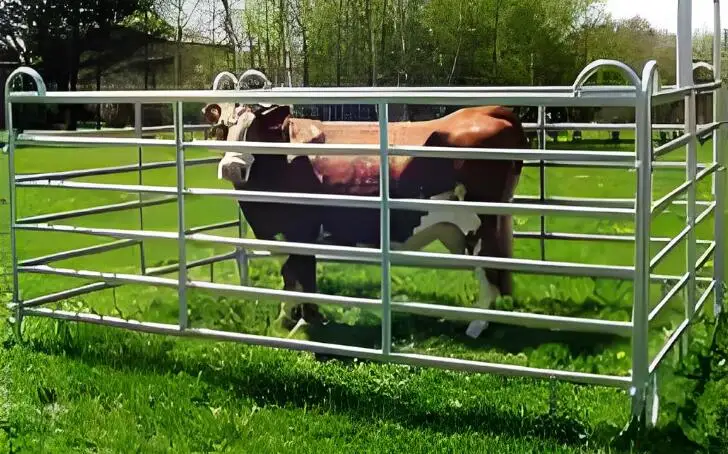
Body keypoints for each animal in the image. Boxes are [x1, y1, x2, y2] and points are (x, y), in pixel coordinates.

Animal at [202, 97, 526, 339]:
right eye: (222, 129)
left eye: (254, 129)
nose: (231, 167)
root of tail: (485, 110)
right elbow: (290, 277)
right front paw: (285, 319)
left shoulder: (301, 230)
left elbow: (302, 276)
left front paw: (305, 323)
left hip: (482, 222)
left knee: (490, 269)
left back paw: (476, 325)